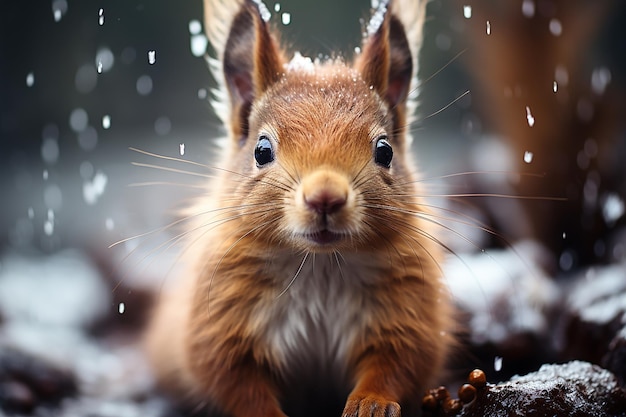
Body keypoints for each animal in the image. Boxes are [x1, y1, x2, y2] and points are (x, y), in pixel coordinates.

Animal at [144, 0, 450, 416]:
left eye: (385, 151)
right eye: (261, 151)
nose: (325, 197)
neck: (320, 265)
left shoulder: (407, 317)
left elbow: (395, 364)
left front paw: (371, 403)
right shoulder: (219, 326)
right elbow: (234, 382)